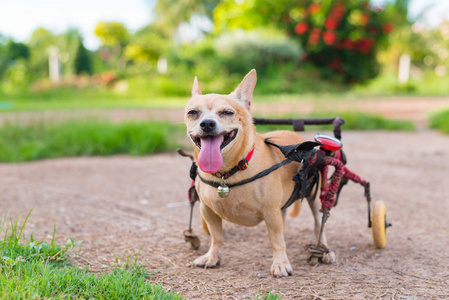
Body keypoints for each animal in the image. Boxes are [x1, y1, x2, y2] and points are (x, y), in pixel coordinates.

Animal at [184, 69, 334, 278]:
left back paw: (325, 251)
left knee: (319, 224)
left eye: (227, 112)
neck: (228, 172)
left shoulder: (270, 212)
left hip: (314, 198)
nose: (207, 123)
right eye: (193, 113)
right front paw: (212, 257)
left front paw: (280, 264)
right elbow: (216, 237)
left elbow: (276, 241)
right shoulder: (208, 211)